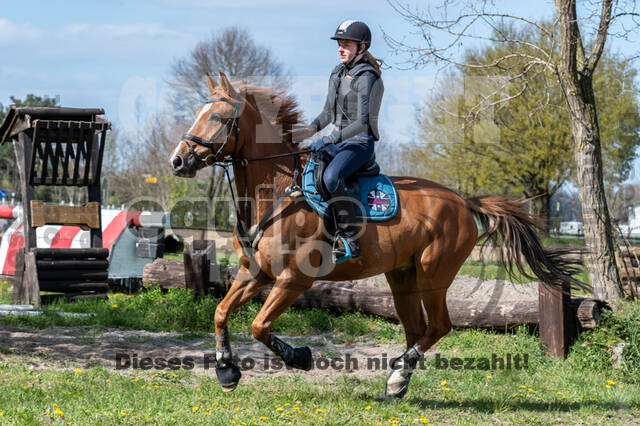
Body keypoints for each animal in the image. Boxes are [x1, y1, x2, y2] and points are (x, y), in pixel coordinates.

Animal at [170, 73, 584, 400]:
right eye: (199, 114)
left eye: (220, 118)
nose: (178, 161)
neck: (276, 192)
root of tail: (464, 202)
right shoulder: (255, 273)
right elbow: (221, 312)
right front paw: (226, 371)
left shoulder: (293, 279)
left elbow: (259, 325)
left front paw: (300, 358)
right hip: (402, 276)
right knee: (417, 328)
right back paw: (397, 382)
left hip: (433, 274)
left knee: (439, 326)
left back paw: (398, 377)